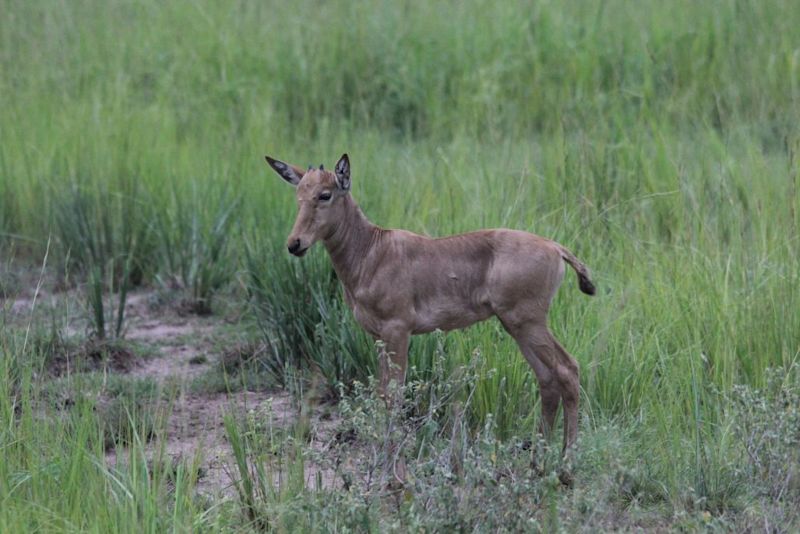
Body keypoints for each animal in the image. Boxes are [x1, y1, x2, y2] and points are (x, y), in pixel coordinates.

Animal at [268, 153, 592, 454]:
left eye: (325, 194)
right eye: (299, 194)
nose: (295, 244)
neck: (373, 250)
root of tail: (556, 248)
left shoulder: (398, 330)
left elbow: (393, 395)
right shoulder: (379, 337)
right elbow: (382, 393)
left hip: (528, 322)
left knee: (568, 369)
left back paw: (566, 460)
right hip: (517, 326)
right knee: (547, 378)